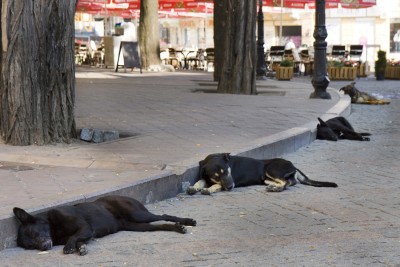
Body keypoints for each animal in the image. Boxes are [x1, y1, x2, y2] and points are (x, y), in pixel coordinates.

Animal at [13, 196, 197, 256]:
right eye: (31, 246)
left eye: (35, 234)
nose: (44, 247)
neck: (53, 228)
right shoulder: (86, 233)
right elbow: (77, 240)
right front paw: (80, 248)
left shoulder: (86, 228)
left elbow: (74, 237)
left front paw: (70, 247)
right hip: (139, 226)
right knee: (161, 225)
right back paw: (178, 228)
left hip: (139, 215)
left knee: (164, 216)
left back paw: (187, 221)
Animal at [188, 154, 338, 196]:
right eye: (216, 176)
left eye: (227, 171)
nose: (231, 187)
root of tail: (293, 166)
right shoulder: (205, 176)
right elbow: (200, 181)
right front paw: (193, 187)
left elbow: (216, 186)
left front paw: (209, 189)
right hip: (266, 178)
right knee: (289, 181)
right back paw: (273, 186)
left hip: (271, 169)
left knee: (287, 182)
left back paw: (276, 189)